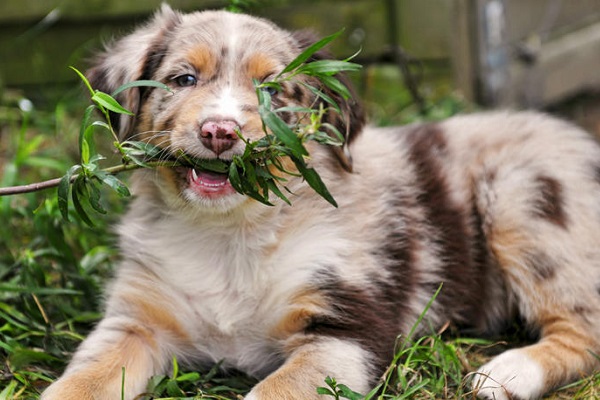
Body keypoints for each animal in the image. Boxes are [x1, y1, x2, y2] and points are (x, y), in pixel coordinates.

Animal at [42, 3, 600, 400]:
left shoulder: (345, 330)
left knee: (586, 327)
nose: (220, 131)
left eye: (273, 91)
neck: (230, 233)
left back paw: (506, 373)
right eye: (184, 79)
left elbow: (274, 391)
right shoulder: (136, 320)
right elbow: (82, 379)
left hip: (526, 204)